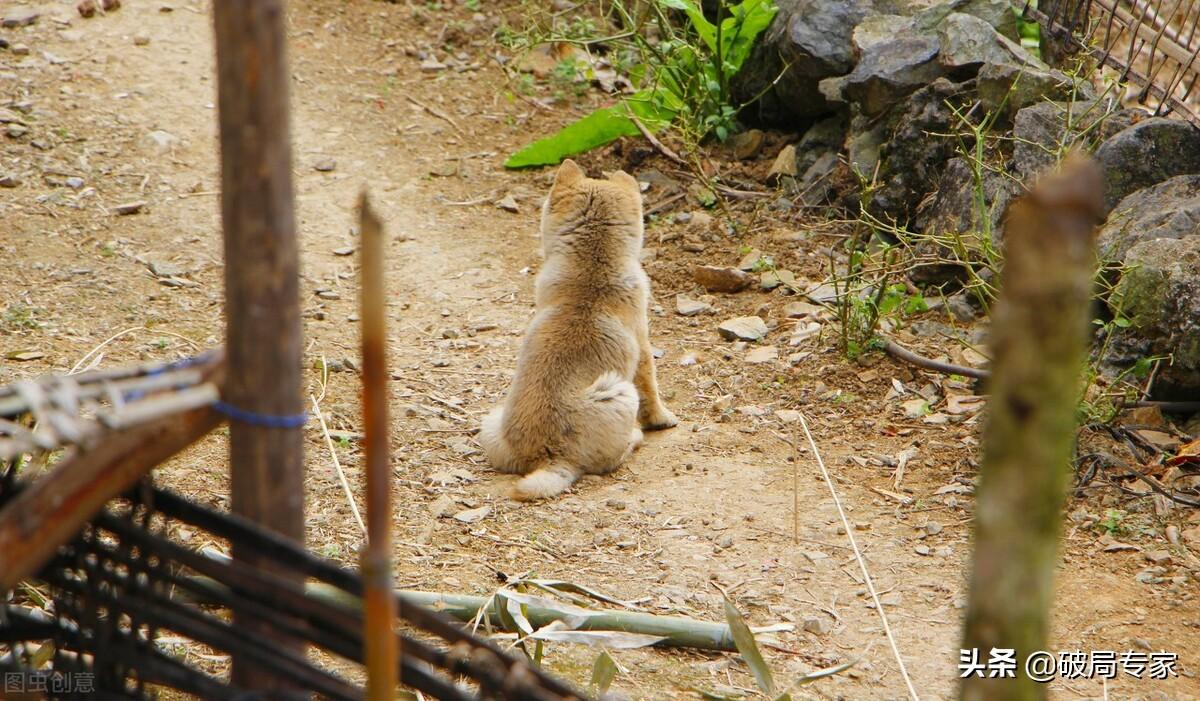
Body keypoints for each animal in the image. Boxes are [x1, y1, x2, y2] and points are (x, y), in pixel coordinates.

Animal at [482, 159, 681, 499]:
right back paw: (634, 437)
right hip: (620, 392)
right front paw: (663, 419)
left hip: (490, 422)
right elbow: (652, 389)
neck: (591, 268)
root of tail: (548, 457)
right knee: (608, 460)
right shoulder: (642, 348)